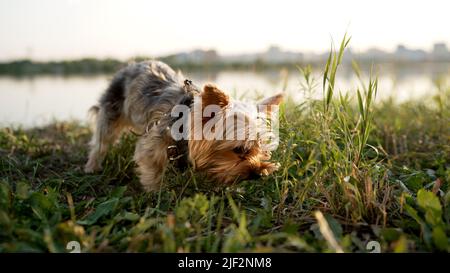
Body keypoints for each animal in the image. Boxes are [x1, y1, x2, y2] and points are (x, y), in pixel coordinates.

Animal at [84, 60, 282, 190]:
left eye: (262, 150)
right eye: (240, 149)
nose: (258, 174)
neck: (185, 120)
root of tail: (130, 65)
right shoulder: (153, 142)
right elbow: (151, 168)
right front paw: (155, 193)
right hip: (112, 110)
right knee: (102, 141)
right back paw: (92, 166)